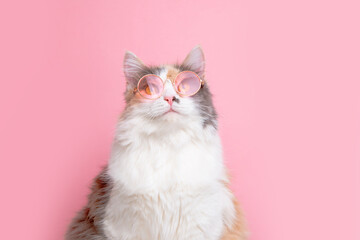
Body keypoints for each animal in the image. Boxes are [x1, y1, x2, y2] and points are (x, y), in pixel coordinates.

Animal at [65, 46, 248, 239]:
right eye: (150, 89)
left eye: (184, 86)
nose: (170, 98)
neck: (168, 140)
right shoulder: (123, 224)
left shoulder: (199, 223)